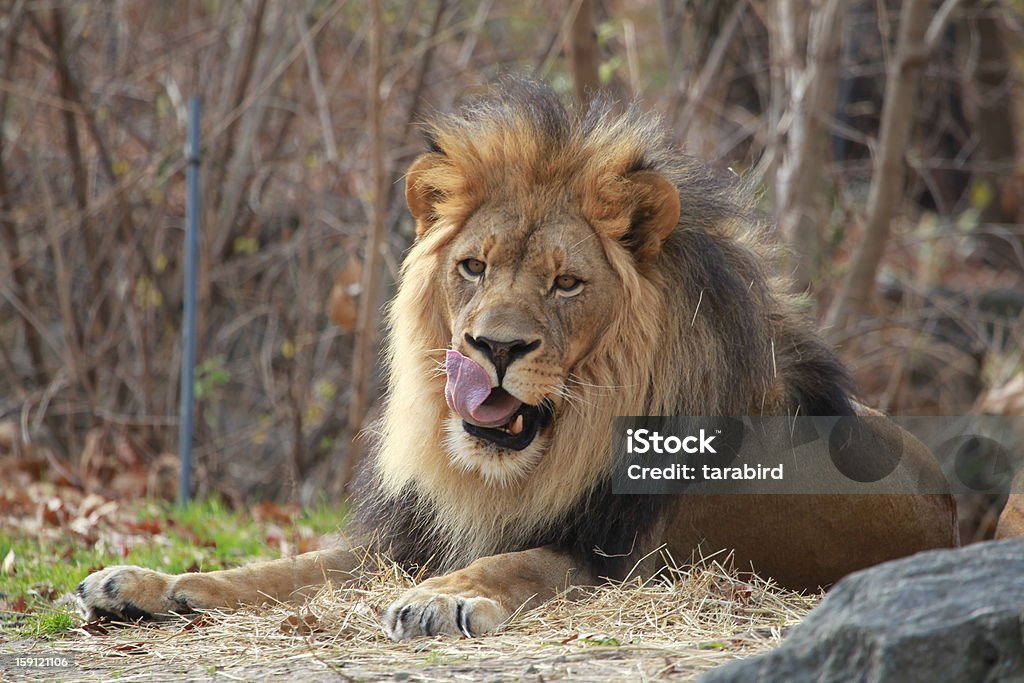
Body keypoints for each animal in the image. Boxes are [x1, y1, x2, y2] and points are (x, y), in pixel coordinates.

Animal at [77, 78, 958, 643]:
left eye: (566, 283)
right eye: (473, 266)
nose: (494, 348)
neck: (523, 465)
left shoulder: (622, 557)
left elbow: (517, 560)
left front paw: (441, 600)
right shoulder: (403, 539)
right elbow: (280, 567)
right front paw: (146, 582)